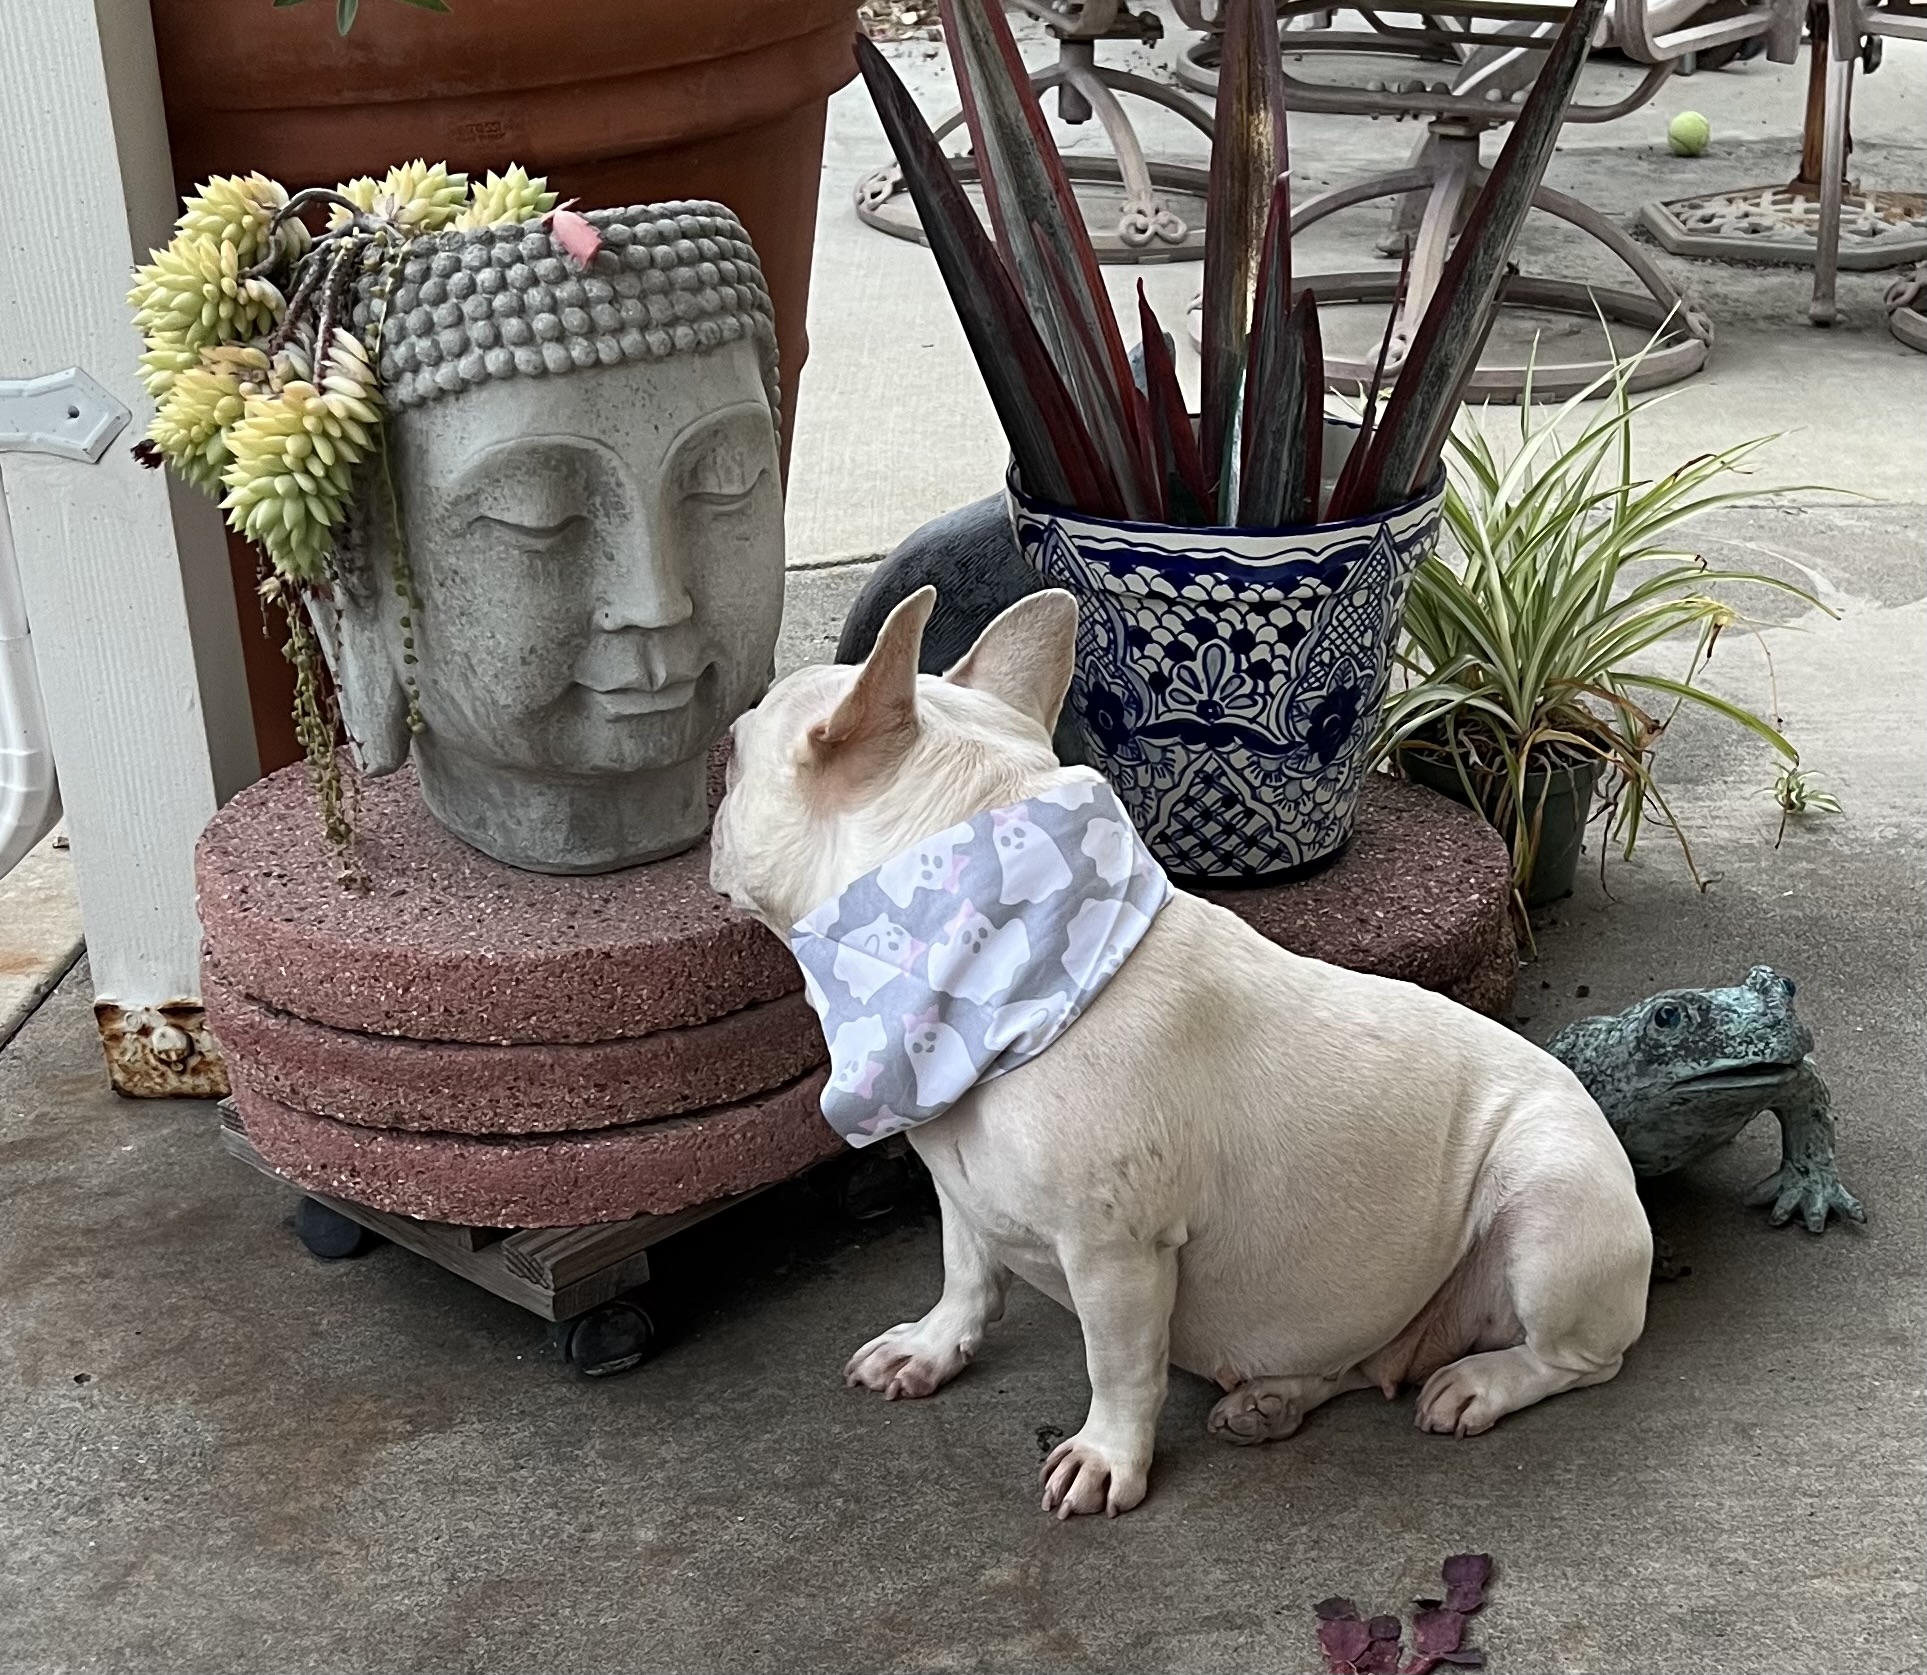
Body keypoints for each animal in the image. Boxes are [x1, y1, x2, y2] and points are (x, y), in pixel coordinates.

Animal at [711, 586, 1651, 1519]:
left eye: (731, 757)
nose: (713, 814)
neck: (1004, 968)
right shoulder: (961, 1192)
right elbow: (966, 1273)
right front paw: (933, 1346)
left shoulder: (1116, 1250)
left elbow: (1119, 1364)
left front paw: (1107, 1456)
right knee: (1359, 1361)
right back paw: (1274, 1398)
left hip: (1550, 1201)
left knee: (1576, 1357)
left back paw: (1479, 1382)